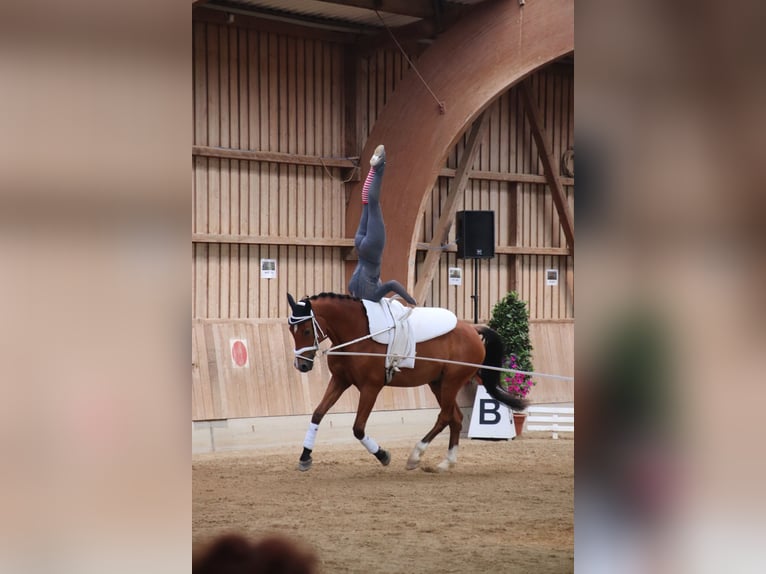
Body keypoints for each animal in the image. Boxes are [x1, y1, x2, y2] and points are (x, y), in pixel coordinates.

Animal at [286, 292, 526, 472]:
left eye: (306, 330)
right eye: (291, 331)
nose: (302, 366)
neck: (358, 333)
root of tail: (473, 329)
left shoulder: (371, 387)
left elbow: (358, 428)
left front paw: (383, 455)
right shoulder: (340, 381)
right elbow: (318, 413)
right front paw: (305, 457)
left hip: (451, 381)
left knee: (445, 416)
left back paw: (416, 456)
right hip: (437, 383)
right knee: (455, 418)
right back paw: (446, 463)